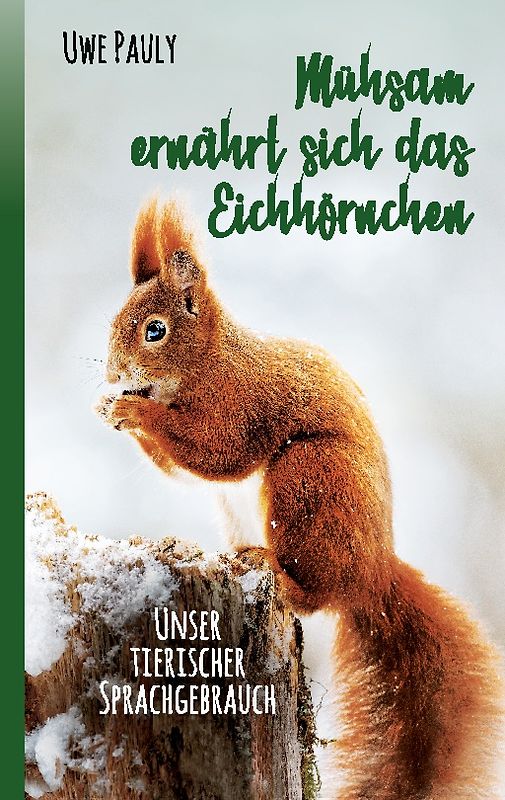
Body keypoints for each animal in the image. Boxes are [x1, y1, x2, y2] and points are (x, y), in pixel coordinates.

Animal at [97, 197, 504, 800]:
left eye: (155, 331)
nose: (112, 373)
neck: (212, 360)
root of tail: (374, 574)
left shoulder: (241, 404)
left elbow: (216, 450)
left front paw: (132, 410)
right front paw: (110, 407)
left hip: (306, 480)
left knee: (312, 594)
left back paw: (275, 572)